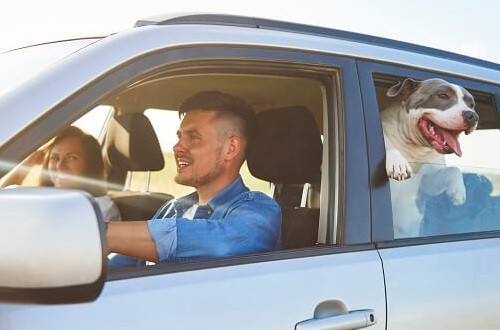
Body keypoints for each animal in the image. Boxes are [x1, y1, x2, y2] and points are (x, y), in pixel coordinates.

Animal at [380, 77, 478, 237]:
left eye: (471, 104)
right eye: (443, 95)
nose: (473, 116)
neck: (416, 149)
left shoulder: (428, 182)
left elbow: (453, 170)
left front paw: (458, 191)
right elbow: (390, 148)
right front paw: (398, 164)